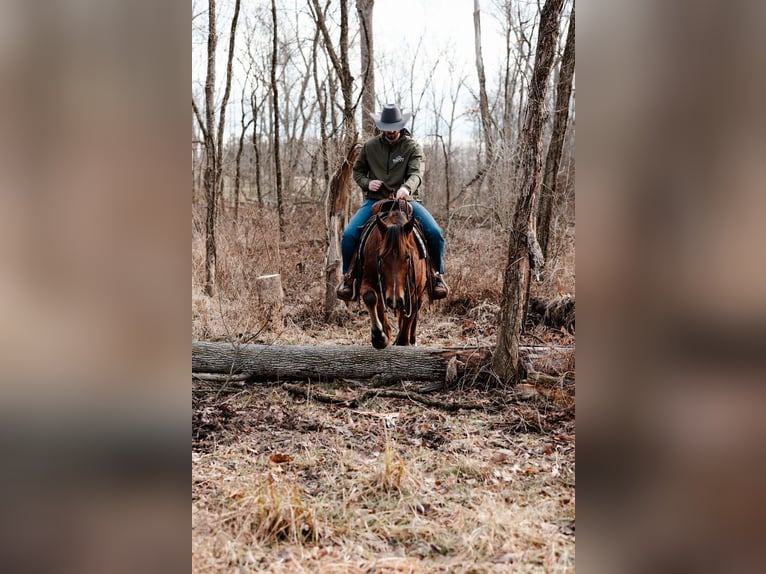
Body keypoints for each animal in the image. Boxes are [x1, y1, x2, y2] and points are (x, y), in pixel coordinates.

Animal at [359, 201, 428, 349]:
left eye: (407, 257)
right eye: (381, 257)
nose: (394, 300)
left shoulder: (413, 294)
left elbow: (407, 324)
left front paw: (402, 341)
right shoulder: (369, 281)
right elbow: (370, 297)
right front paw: (379, 337)